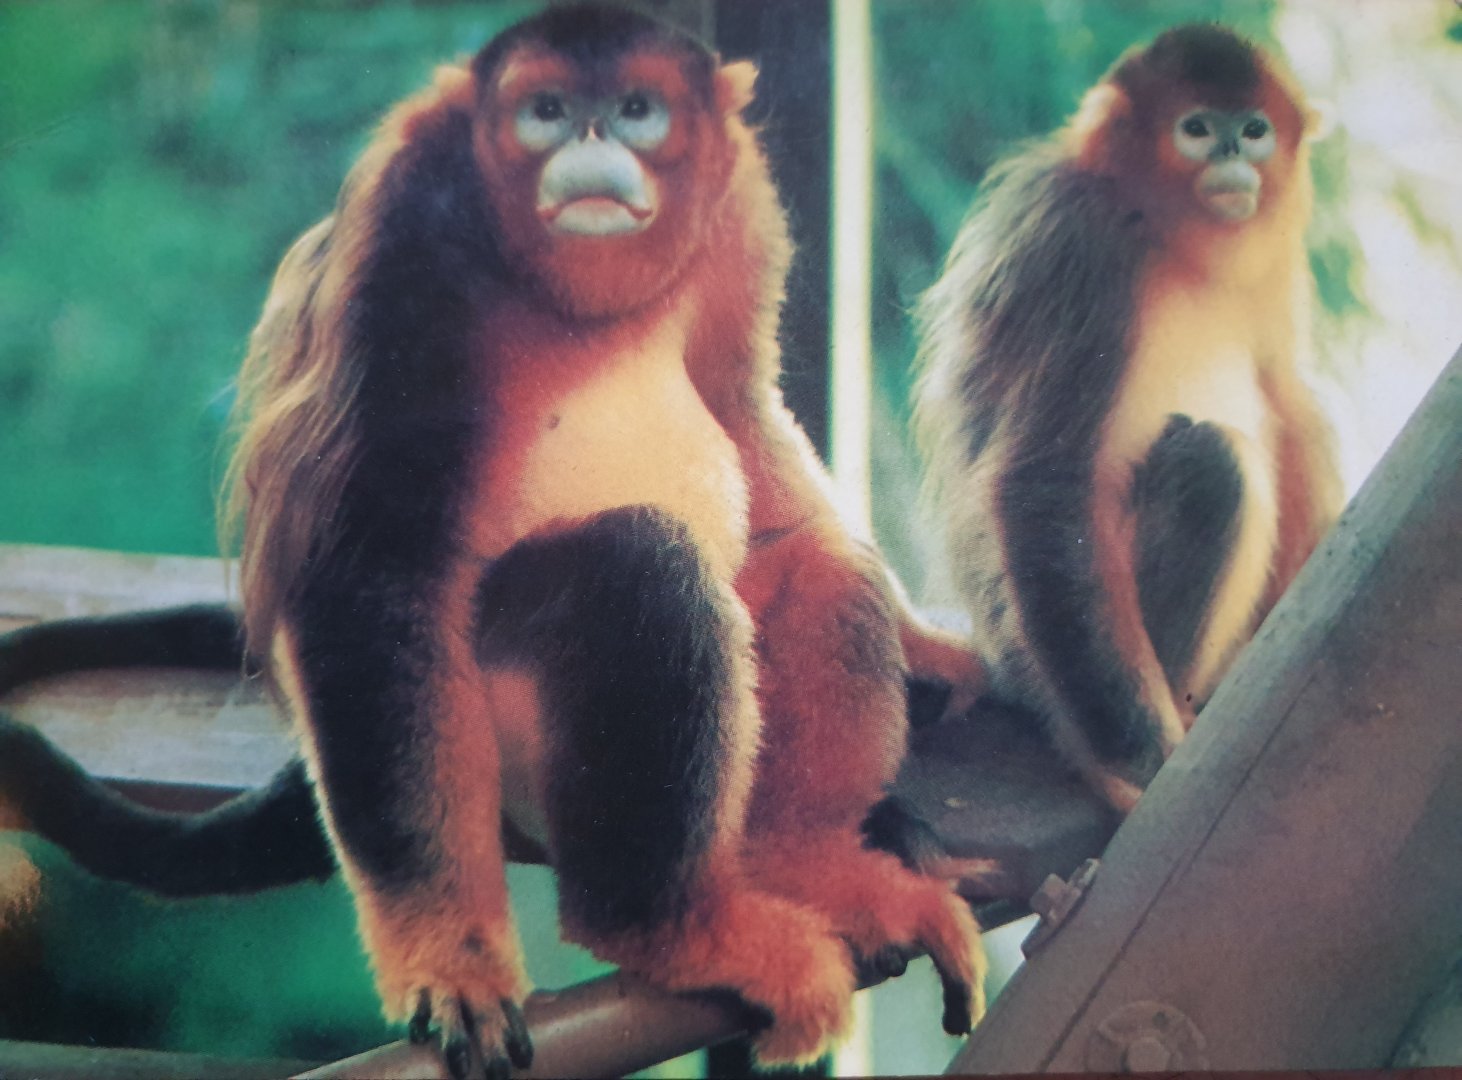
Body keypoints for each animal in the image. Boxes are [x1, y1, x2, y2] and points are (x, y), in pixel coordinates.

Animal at [0, 7, 985, 1076]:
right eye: (546, 110)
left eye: (636, 109)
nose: (590, 143)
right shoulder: (406, 243)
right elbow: (374, 575)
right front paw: (452, 961)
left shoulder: (742, 211)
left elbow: (737, 398)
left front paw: (922, 642)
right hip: (491, 743)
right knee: (638, 568)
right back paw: (671, 929)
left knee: (813, 559)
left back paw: (807, 863)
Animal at [913, 23, 1342, 815]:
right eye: (1196, 129)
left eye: (1255, 130)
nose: (1234, 155)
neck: (1167, 236)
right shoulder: (1076, 245)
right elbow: (1045, 481)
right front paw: (1144, 763)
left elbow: (1287, 399)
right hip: (1037, 658)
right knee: (1211, 461)